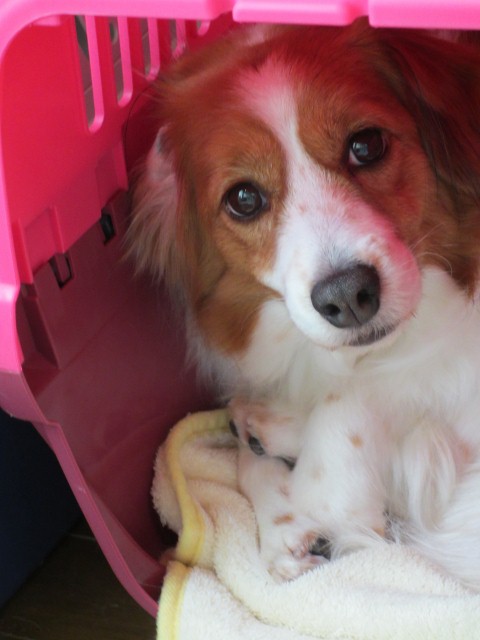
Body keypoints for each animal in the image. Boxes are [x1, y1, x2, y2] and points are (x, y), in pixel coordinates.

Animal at [128, 20, 480, 588]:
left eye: (367, 144)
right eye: (243, 198)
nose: (347, 297)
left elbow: (344, 432)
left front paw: (315, 495)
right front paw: (284, 526)